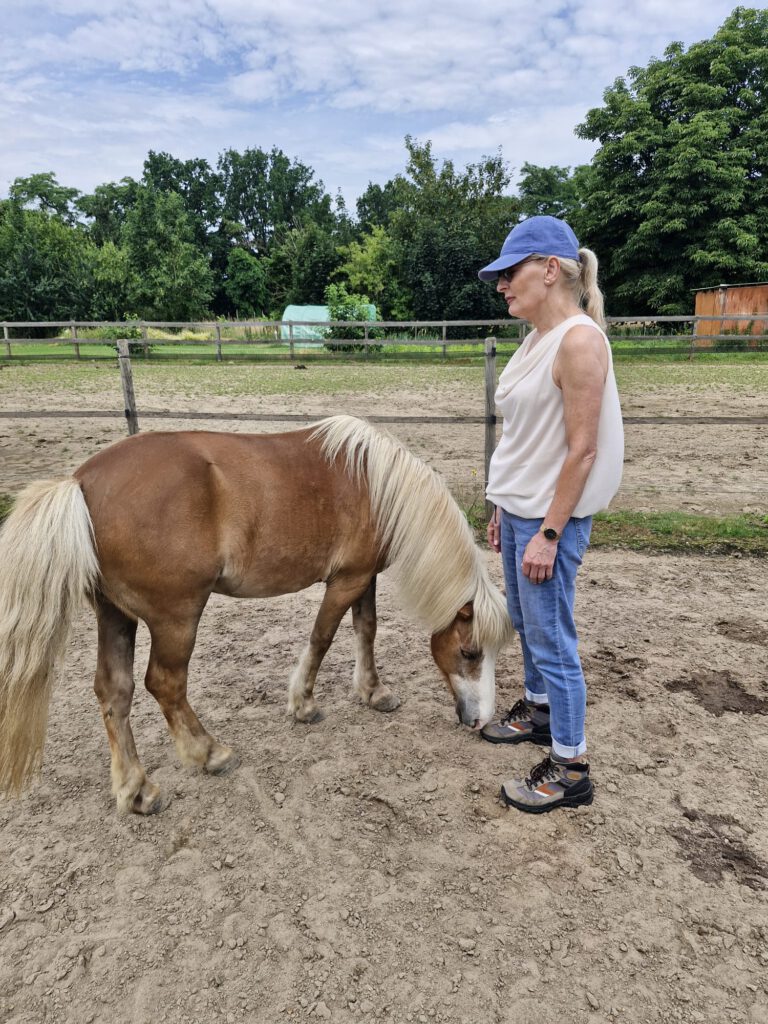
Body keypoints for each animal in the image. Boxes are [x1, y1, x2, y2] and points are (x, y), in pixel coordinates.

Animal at [0, 415, 511, 815]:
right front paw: (303, 704)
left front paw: (373, 692)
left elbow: (366, 630)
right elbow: (323, 637)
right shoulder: (345, 581)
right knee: (165, 684)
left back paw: (137, 789)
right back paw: (209, 753)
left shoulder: (363, 578)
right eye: (469, 652)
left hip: (115, 616)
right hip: (176, 617)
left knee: (115, 691)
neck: (376, 485)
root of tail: (81, 483)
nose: (480, 720)